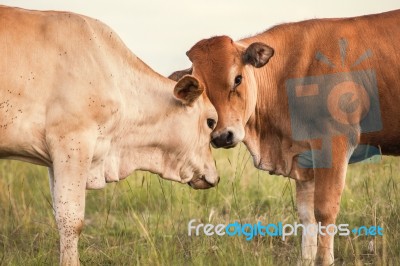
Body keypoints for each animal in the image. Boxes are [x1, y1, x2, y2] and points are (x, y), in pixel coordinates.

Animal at [171, 9, 400, 264]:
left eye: (237, 79)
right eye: (199, 88)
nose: (222, 136)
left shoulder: (335, 143)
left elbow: (325, 209)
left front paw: (324, 259)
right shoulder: (305, 159)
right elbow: (307, 215)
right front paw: (307, 258)